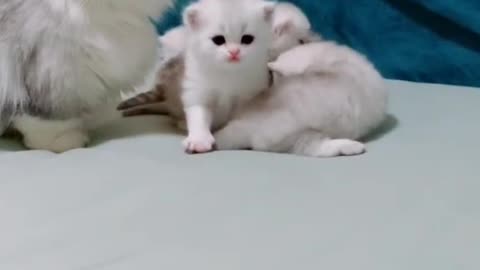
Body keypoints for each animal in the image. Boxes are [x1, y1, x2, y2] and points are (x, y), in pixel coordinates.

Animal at [216, 41, 388, 157]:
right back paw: (353, 146)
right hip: (302, 134)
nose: (271, 79)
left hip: (300, 136)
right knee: (321, 149)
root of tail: (246, 124)